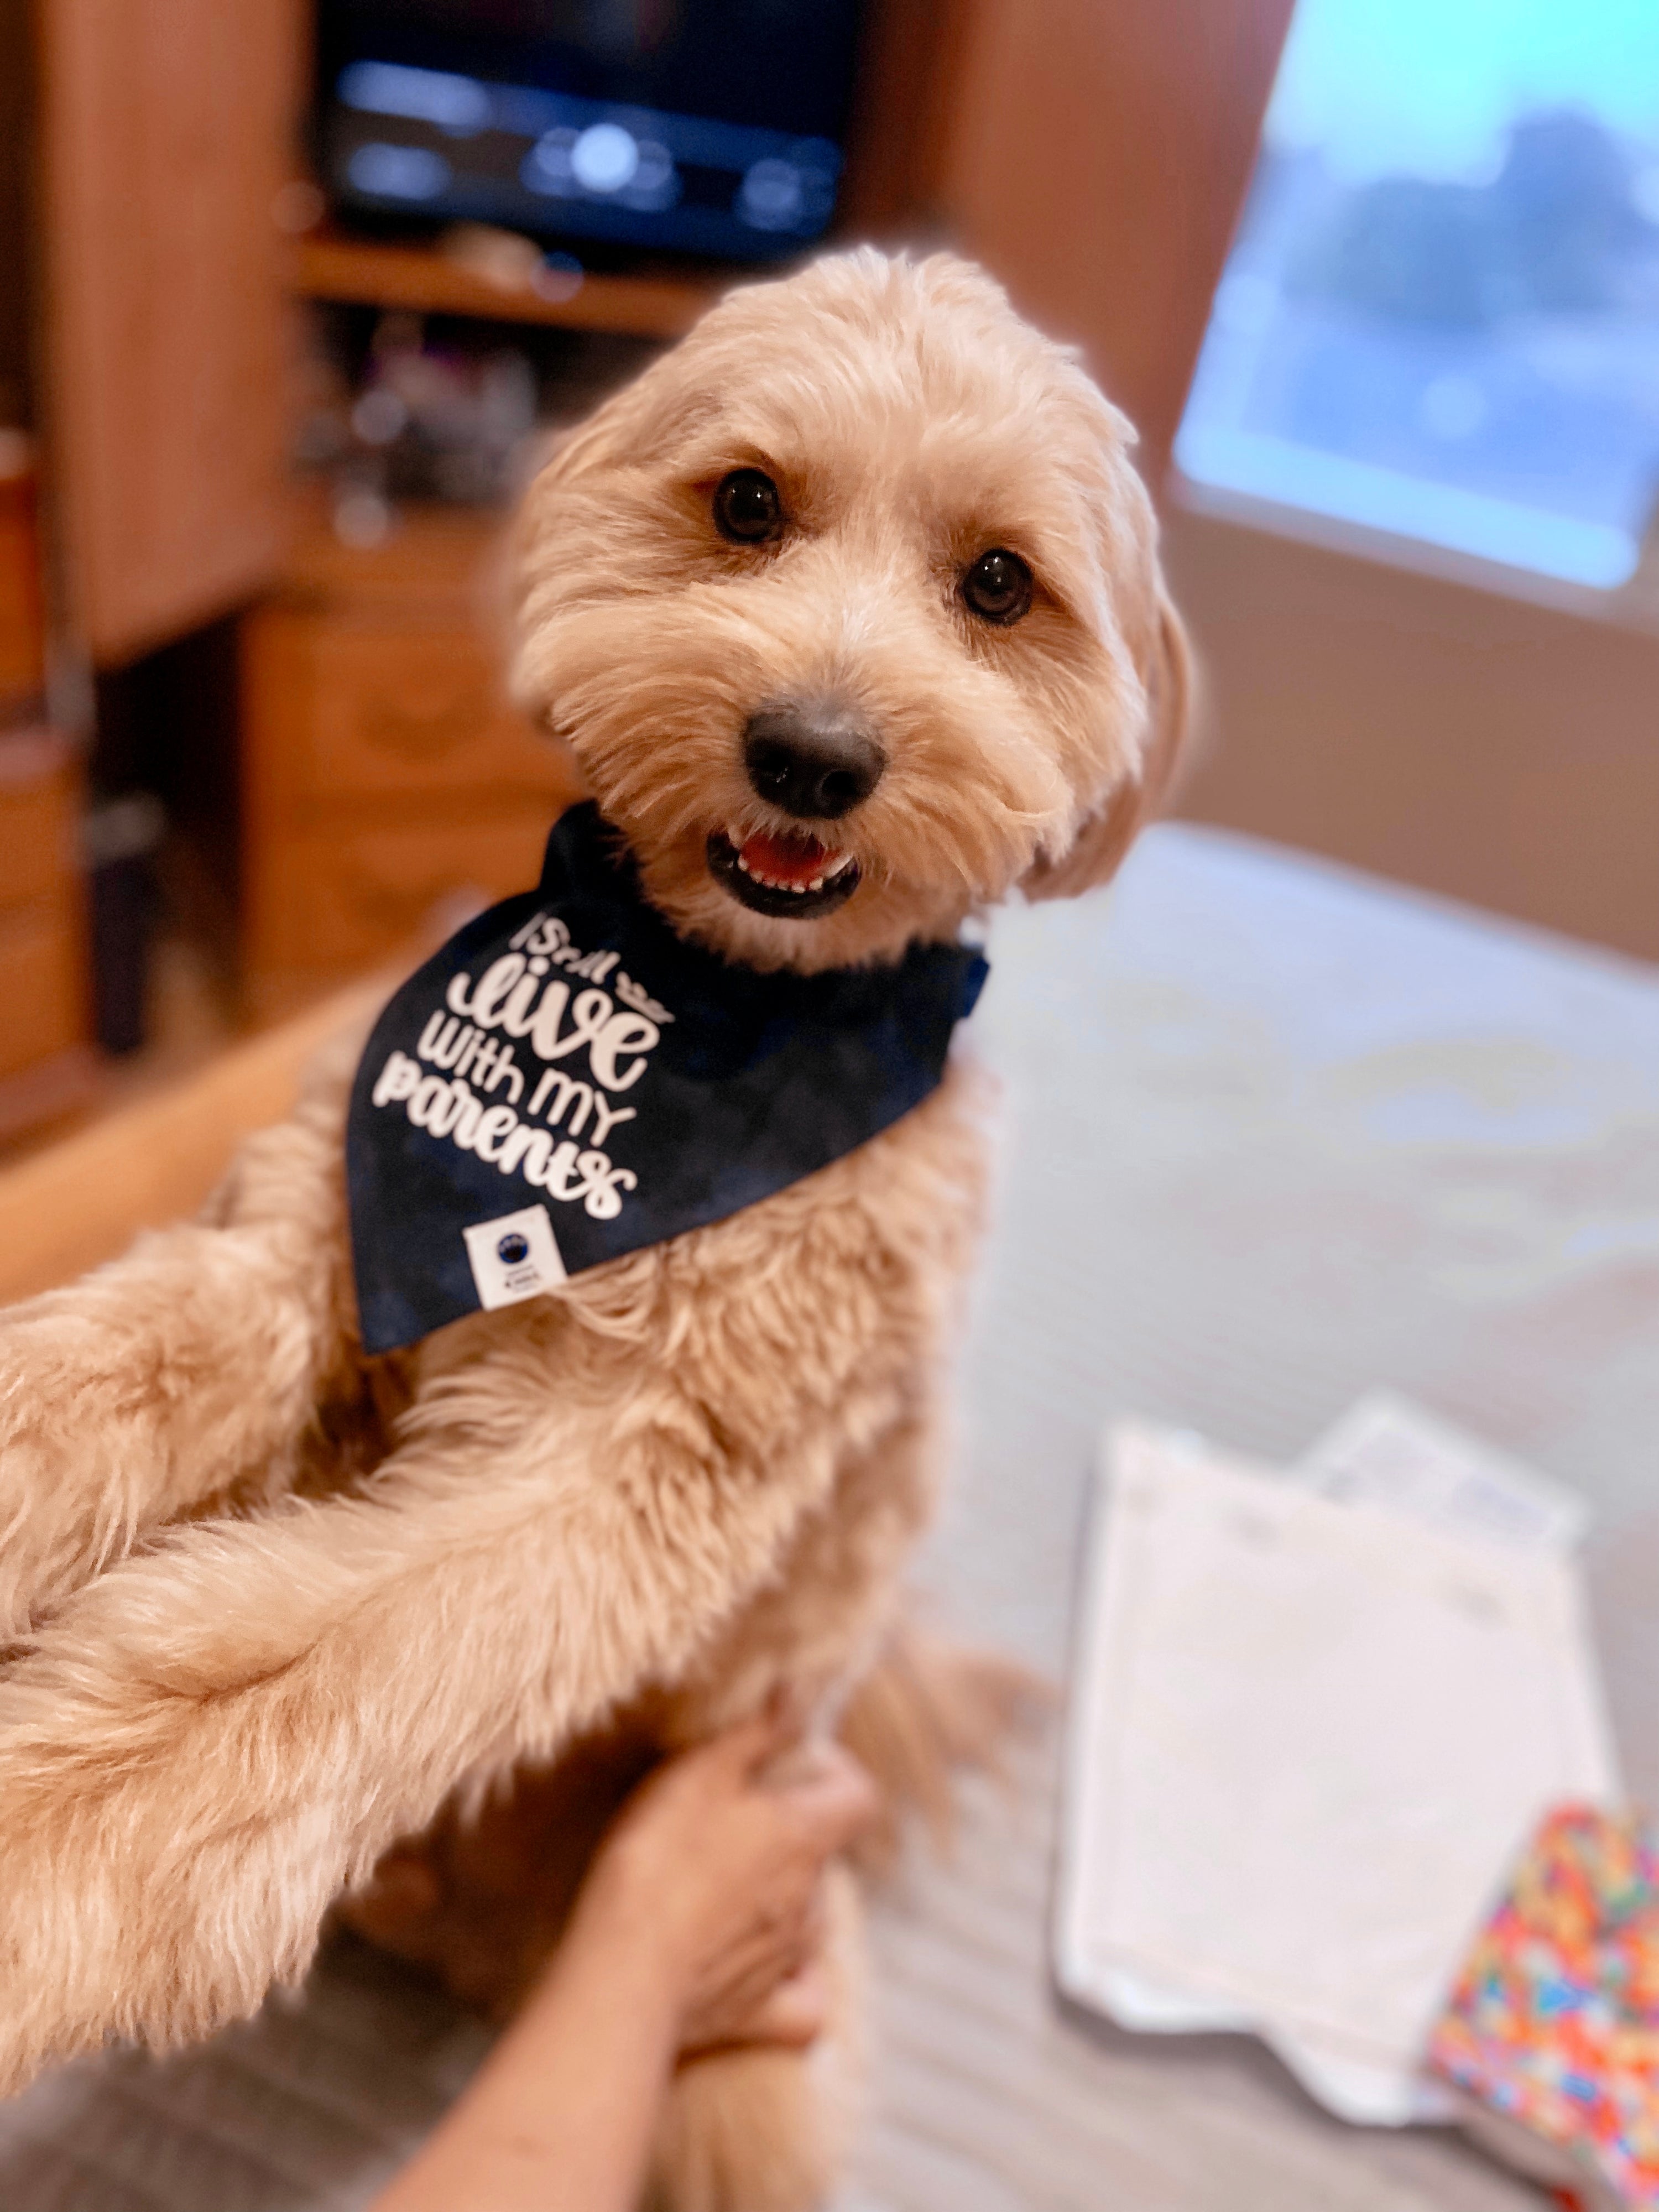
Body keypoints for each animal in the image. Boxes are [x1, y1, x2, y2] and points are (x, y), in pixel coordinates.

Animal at [0, 251, 1186, 2203]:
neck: (694, 1017)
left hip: (742, 2079)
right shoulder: (319, 1245)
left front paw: (42, 1857)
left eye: (1000, 583)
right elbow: (107, 1373)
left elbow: (297, 1668)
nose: (811, 756)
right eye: (748, 503)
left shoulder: (630, 1477)